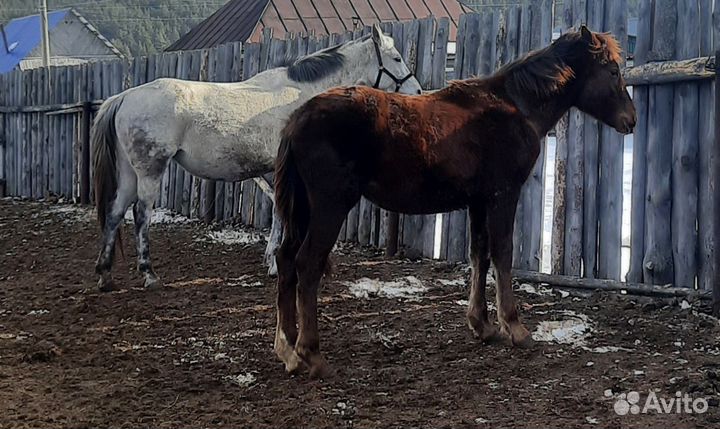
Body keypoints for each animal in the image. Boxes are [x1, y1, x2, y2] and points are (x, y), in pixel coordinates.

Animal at [91, 25, 422, 292]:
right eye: (396, 58)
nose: (417, 90)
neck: (302, 96)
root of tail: (124, 97)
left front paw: (272, 261)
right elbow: (283, 213)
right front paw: (278, 263)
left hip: (129, 173)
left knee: (115, 212)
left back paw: (105, 276)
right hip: (150, 170)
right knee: (140, 214)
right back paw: (149, 275)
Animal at [273, 26, 636, 378]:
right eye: (612, 70)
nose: (630, 120)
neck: (515, 107)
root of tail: (296, 120)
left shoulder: (478, 201)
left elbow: (479, 255)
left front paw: (483, 326)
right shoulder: (503, 195)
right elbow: (502, 254)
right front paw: (515, 328)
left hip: (304, 209)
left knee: (286, 259)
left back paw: (289, 351)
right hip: (330, 206)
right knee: (307, 263)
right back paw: (311, 354)